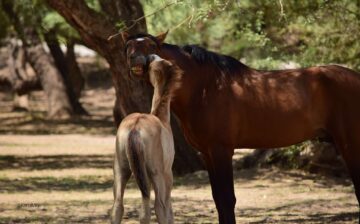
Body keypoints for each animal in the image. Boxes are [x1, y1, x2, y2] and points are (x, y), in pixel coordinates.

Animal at [111, 54, 181, 224]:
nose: (150, 56)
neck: (161, 119)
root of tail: (135, 127)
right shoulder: (167, 174)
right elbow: (168, 209)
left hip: (122, 169)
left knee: (118, 206)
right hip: (156, 174)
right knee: (157, 207)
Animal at [120, 30, 360, 223]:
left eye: (152, 47)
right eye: (129, 47)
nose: (135, 61)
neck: (205, 88)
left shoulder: (222, 150)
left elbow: (228, 200)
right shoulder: (207, 153)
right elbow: (219, 200)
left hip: (350, 144)